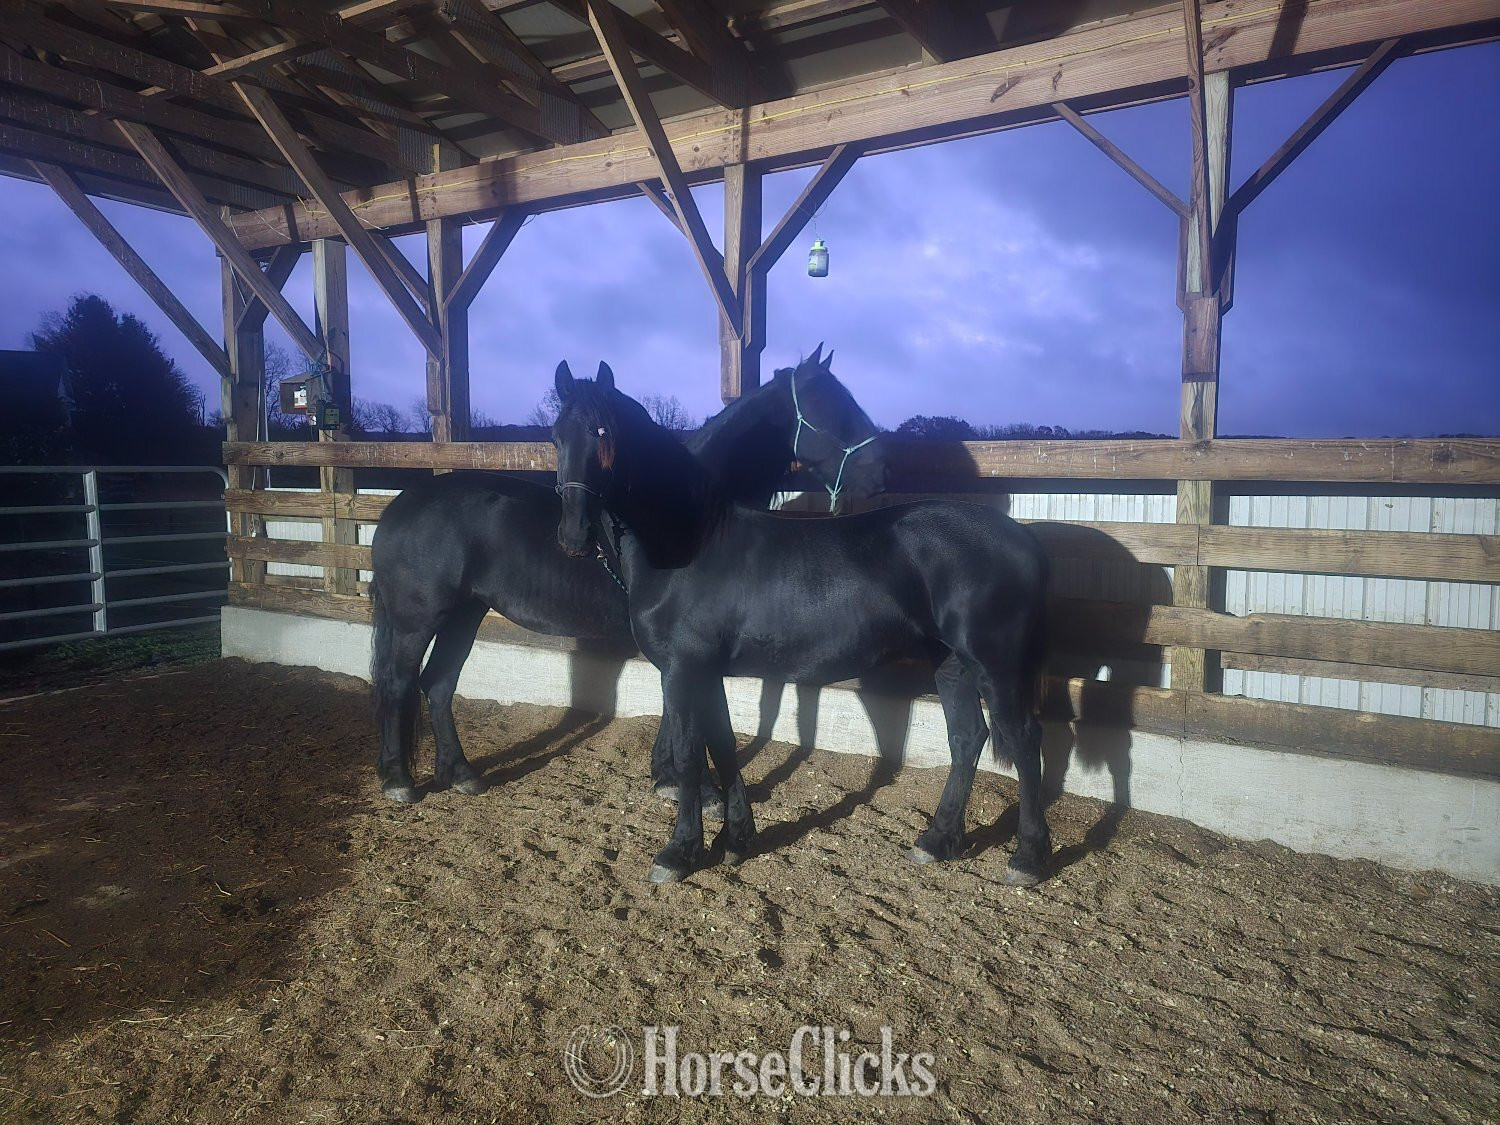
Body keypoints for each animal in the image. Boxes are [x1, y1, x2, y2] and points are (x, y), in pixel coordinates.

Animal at [369, 347, 887, 803]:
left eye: (606, 435)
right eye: (833, 410)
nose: (880, 474)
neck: (684, 513)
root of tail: (399, 506)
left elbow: (673, 704)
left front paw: (667, 776)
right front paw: (689, 785)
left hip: (466, 612)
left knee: (438, 683)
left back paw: (460, 773)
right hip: (419, 619)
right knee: (398, 682)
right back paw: (399, 781)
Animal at [551, 356, 1053, 886]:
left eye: (605, 435)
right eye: (556, 437)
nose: (572, 534)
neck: (691, 542)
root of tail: (1024, 540)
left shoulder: (683, 670)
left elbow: (691, 753)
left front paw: (680, 852)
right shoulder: (707, 671)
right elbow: (723, 743)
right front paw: (738, 838)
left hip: (994, 665)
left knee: (1024, 742)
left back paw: (1028, 858)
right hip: (952, 664)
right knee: (967, 738)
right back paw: (938, 841)